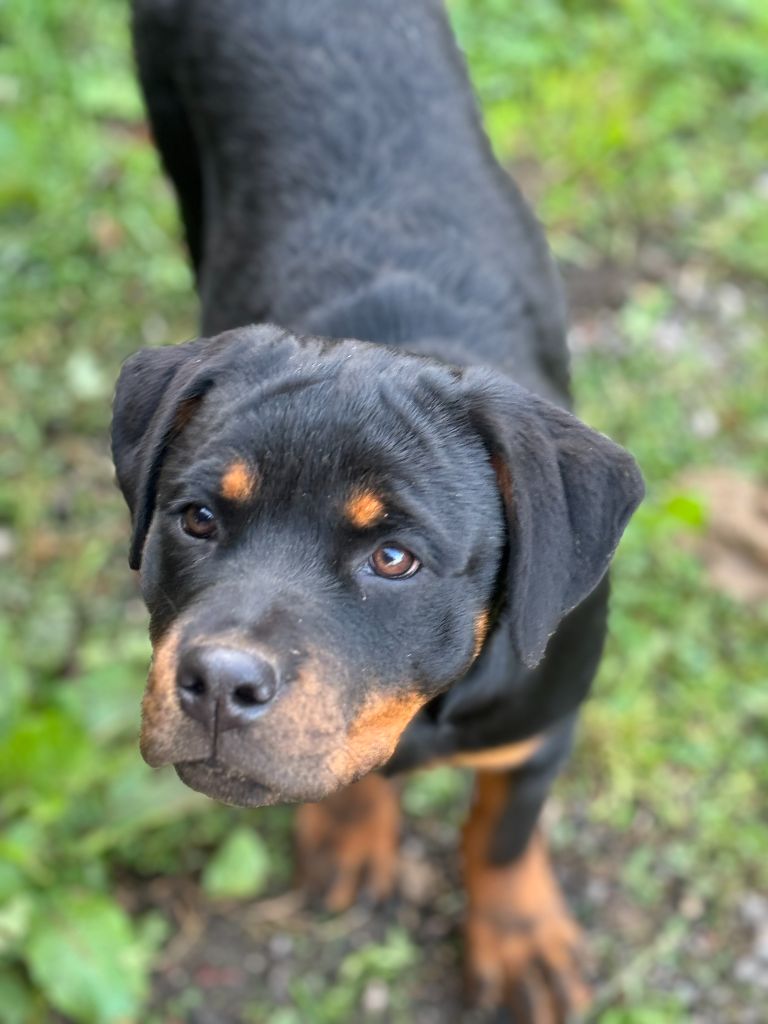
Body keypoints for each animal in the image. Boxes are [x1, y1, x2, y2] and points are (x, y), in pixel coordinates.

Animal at [112, 4, 643, 1019]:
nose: (218, 682)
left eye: (393, 559)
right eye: (196, 519)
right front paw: (353, 832)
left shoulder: (541, 726)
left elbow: (504, 830)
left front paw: (518, 938)